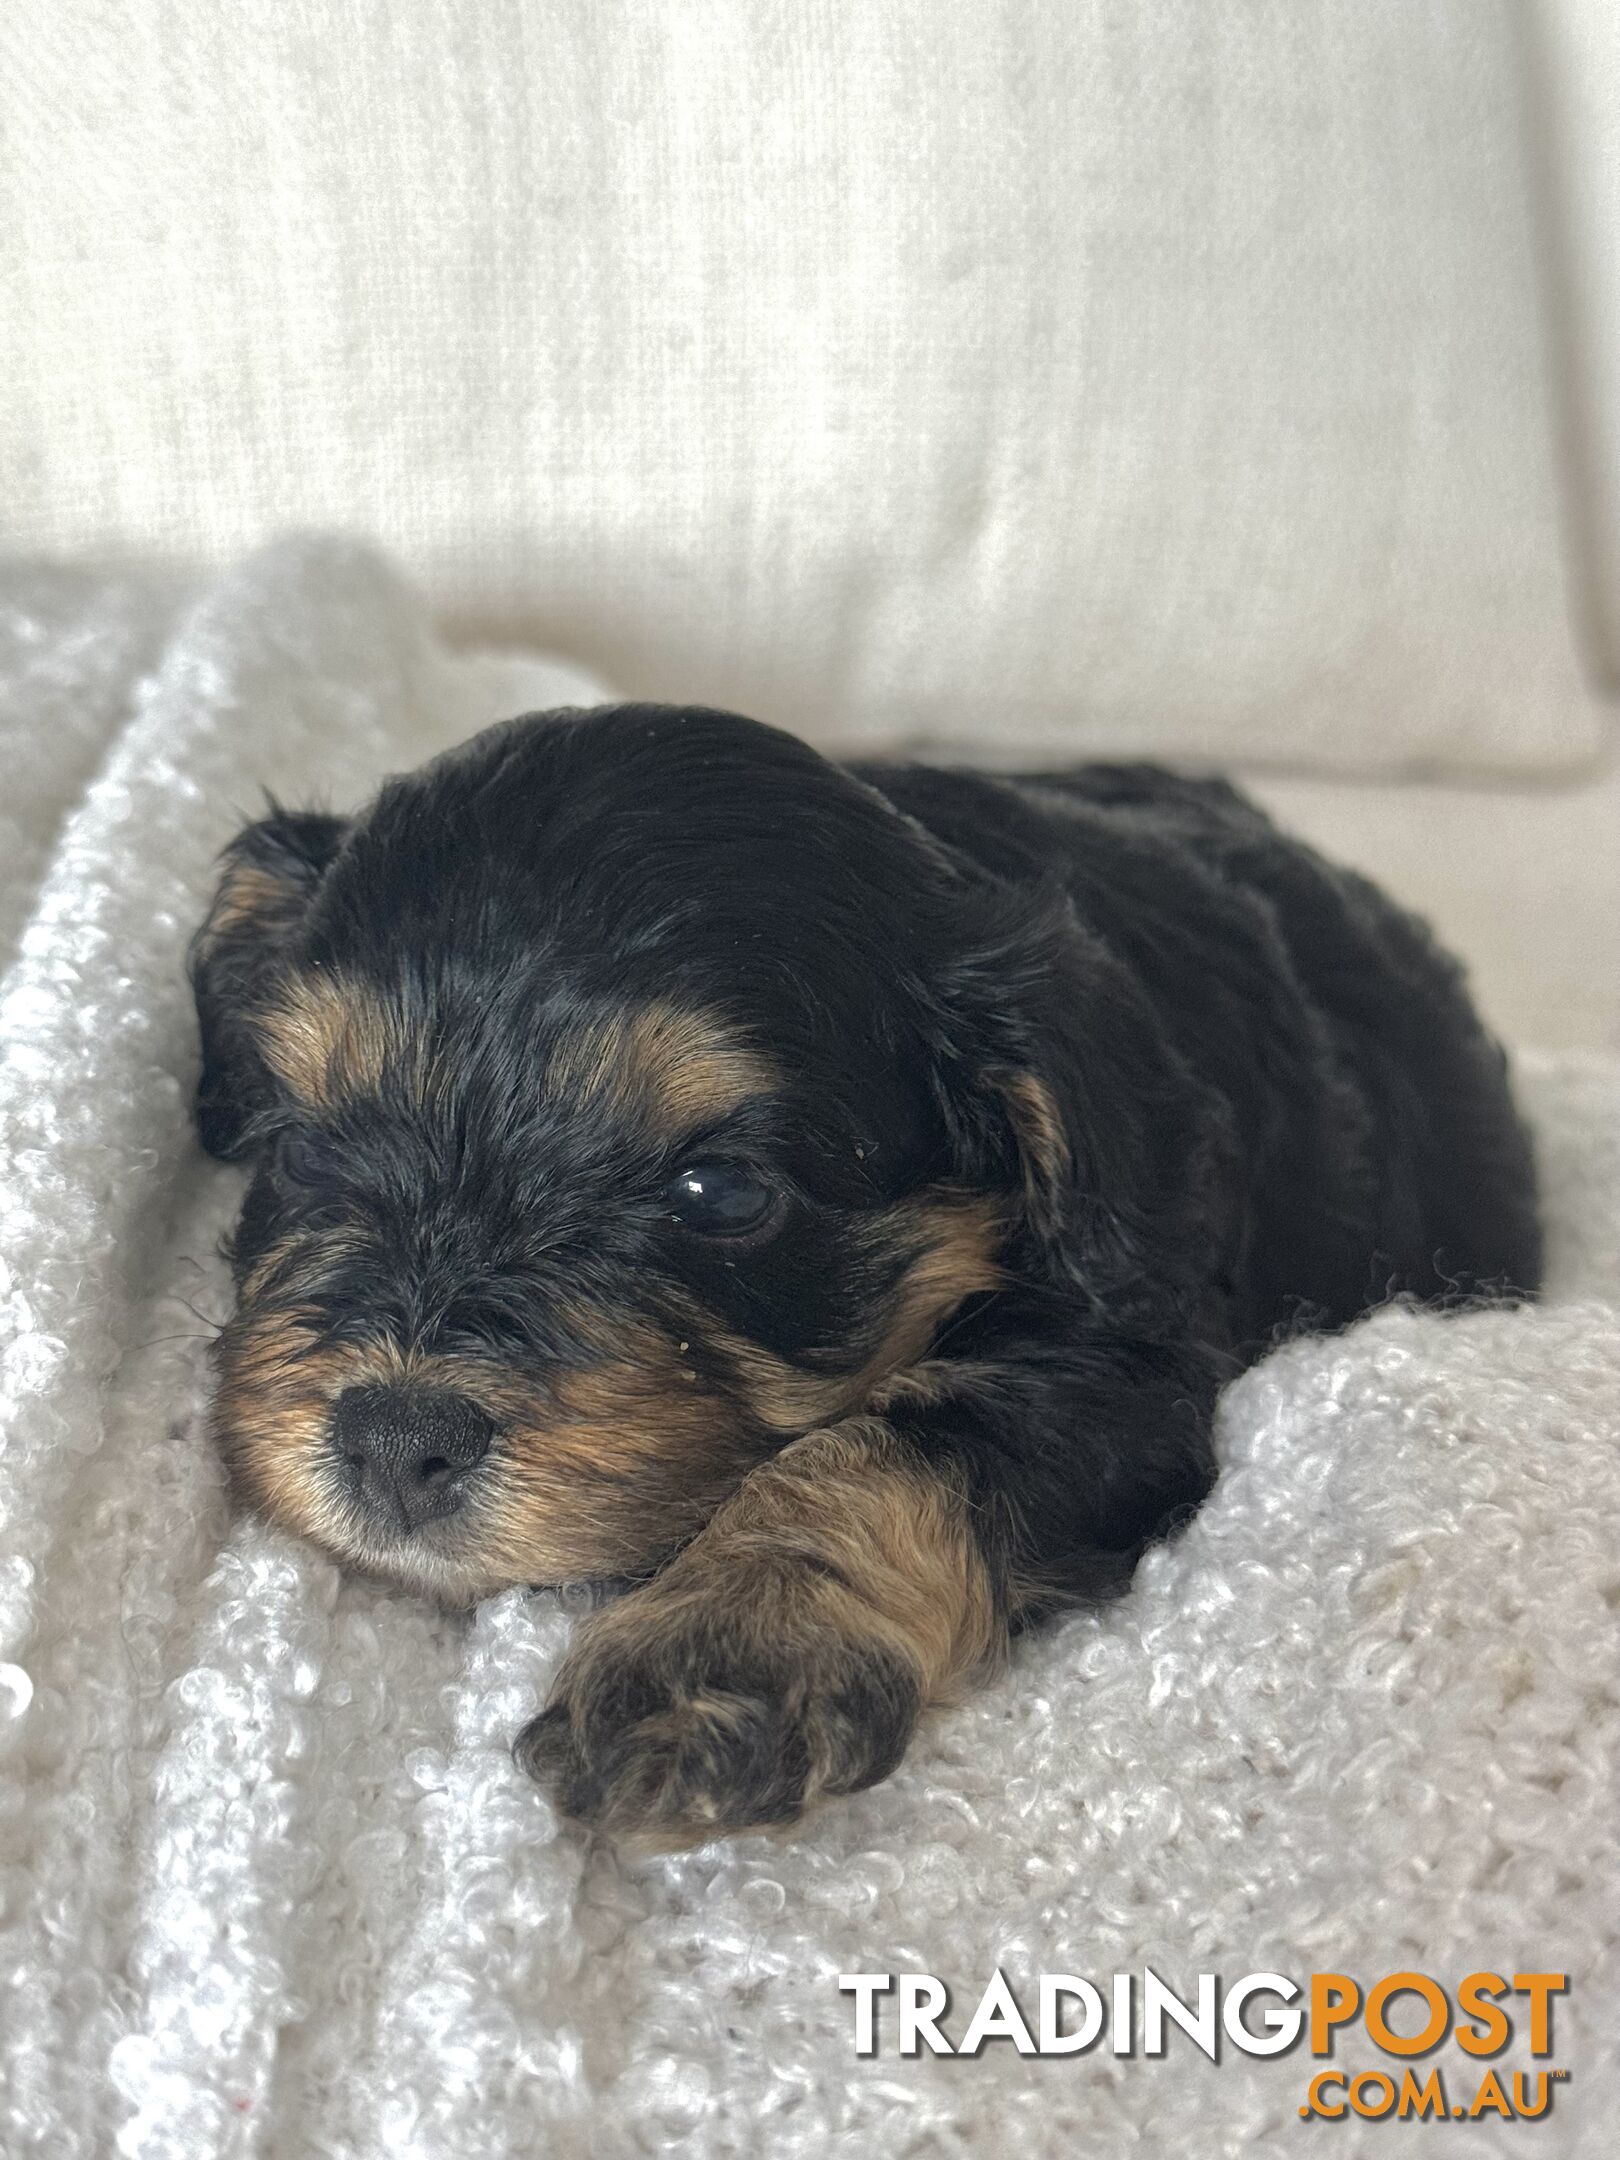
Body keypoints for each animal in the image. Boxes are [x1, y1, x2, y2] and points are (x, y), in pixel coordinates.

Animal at [186, 699, 1537, 1848]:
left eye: (721, 1195)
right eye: (301, 1144)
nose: (394, 1441)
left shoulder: (1138, 1364)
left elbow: (909, 1435)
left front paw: (728, 1645)